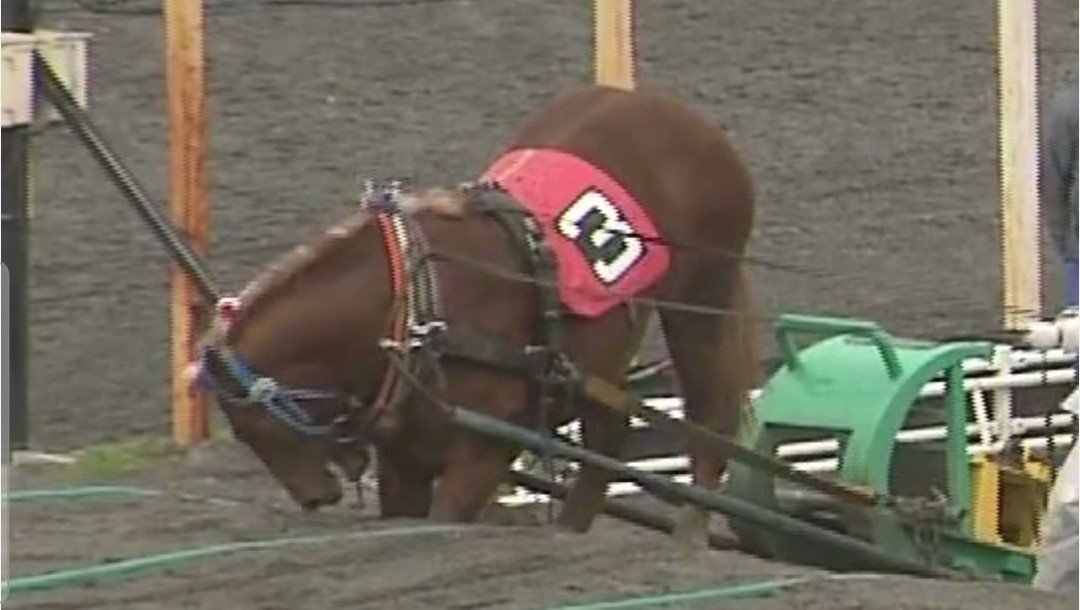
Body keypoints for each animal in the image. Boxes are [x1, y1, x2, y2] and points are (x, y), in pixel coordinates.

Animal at [194, 84, 761, 546]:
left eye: (249, 426)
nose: (314, 497)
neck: (417, 310)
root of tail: (682, 117)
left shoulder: (485, 450)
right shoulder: (404, 459)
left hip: (701, 295)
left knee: (709, 411)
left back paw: (689, 531)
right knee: (608, 426)